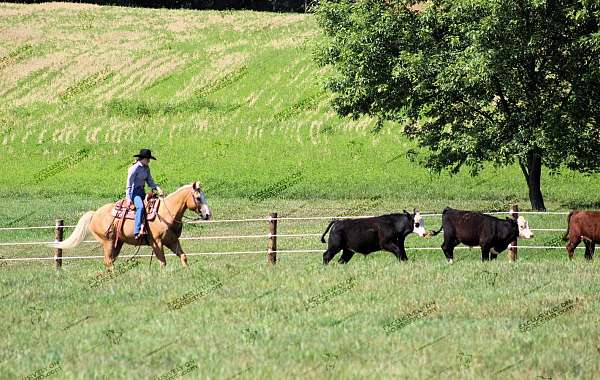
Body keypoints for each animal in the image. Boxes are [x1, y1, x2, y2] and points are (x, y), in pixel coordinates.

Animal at [50, 183, 212, 268]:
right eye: (198, 198)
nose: (208, 214)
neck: (166, 213)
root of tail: (94, 214)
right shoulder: (156, 242)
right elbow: (162, 262)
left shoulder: (172, 241)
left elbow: (183, 257)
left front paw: (187, 271)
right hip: (108, 241)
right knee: (108, 261)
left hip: (118, 243)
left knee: (110, 261)